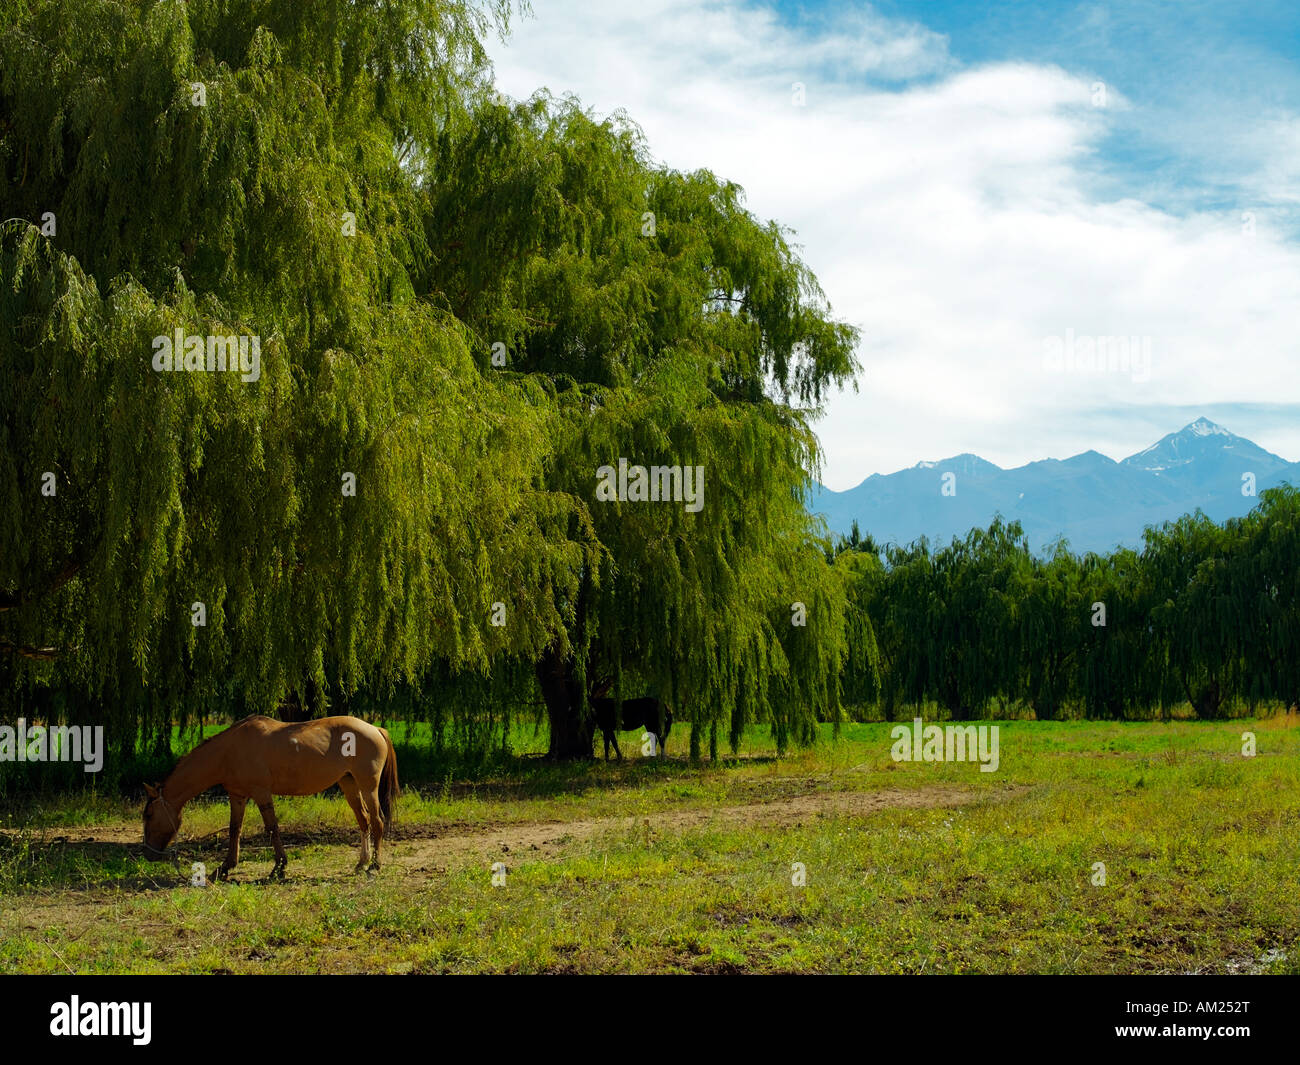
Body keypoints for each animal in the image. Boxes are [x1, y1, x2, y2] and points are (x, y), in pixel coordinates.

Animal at [142, 714, 398, 880]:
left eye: (149, 814)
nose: (148, 854)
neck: (229, 750)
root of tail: (376, 729)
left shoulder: (261, 793)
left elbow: (272, 828)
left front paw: (279, 867)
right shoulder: (237, 796)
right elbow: (234, 829)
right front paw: (225, 867)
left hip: (368, 786)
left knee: (377, 821)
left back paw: (375, 866)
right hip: (349, 784)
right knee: (363, 821)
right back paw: (361, 863)